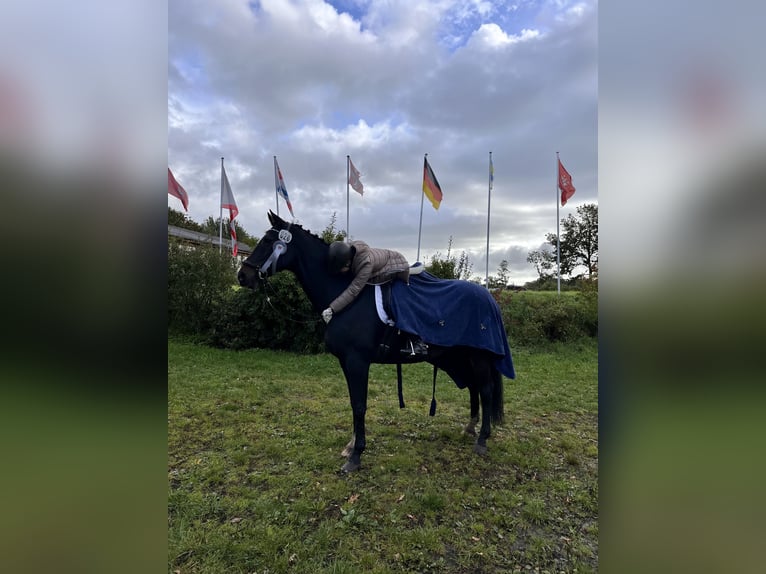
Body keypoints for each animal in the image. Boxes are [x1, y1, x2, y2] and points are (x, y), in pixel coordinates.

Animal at [238, 212, 516, 472]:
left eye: (268, 241)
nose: (243, 276)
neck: (345, 294)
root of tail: (489, 298)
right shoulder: (347, 363)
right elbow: (354, 403)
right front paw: (351, 445)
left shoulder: (357, 362)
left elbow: (360, 405)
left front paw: (356, 456)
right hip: (457, 358)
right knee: (473, 387)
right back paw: (470, 428)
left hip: (478, 357)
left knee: (486, 390)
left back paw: (482, 440)